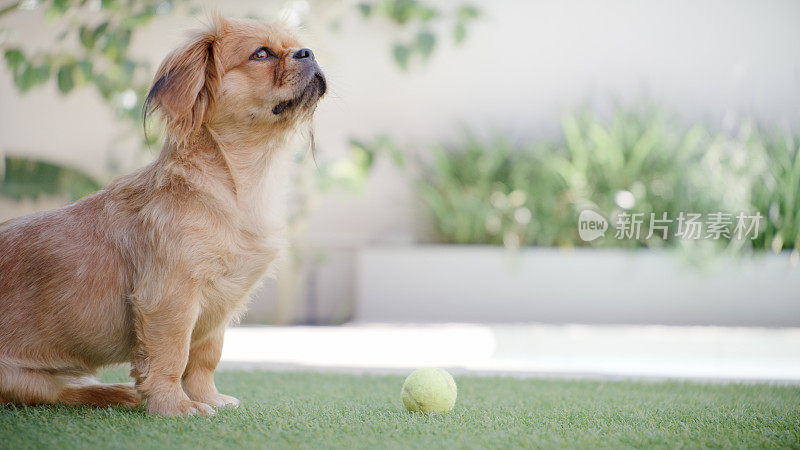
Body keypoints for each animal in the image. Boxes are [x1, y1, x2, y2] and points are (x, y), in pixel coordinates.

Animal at [0, 15, 324, 416]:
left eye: (297, 46)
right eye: (261, 54)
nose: (307, 52)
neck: (238, 187)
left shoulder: (219, 303)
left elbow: (204, 358)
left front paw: (207, 397)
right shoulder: (170, 299)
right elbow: (171, 355)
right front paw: (176, 406)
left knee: (68, 389)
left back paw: (119, 393)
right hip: (18, 379)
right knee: (56, 395)